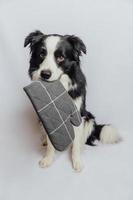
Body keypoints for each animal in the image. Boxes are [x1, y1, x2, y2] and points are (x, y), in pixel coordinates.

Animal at [24, 30, 120, 172]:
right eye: (42, 54)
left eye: (60, 57)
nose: (45, 74)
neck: (59, 88)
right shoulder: (50, 117)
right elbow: (52, 142)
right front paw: (48, 158)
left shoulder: (77, 115)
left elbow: (75, 143)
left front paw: (77, 161)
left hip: (89, 117)